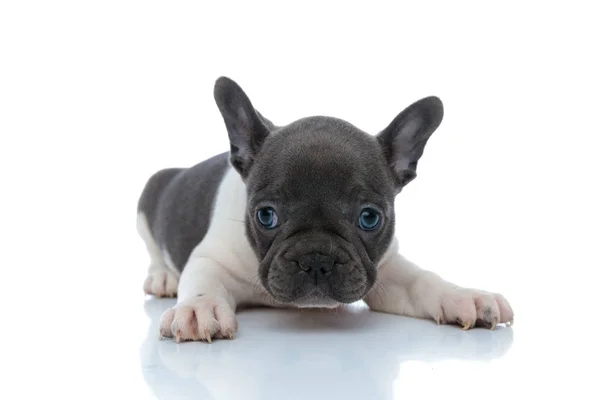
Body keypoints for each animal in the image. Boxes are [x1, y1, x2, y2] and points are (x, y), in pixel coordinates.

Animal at [138, 76, 512, 342]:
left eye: (369, 218)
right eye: (266, 215)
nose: (316, 258)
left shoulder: (388, 269)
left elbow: (422, 280)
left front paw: (465, 297)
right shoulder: (211, 258)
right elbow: (203, 280)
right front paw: (197, 308)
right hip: (149, 195)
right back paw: (163, 277)